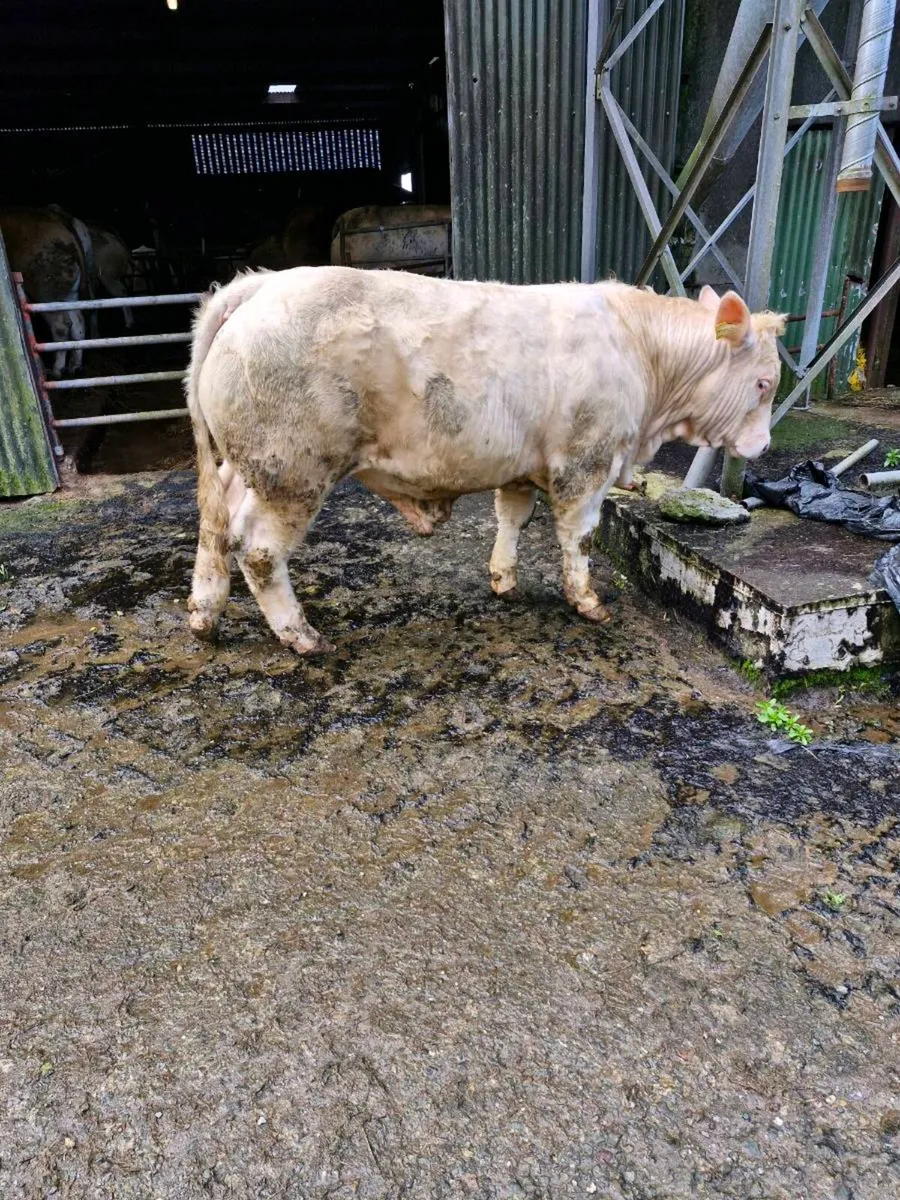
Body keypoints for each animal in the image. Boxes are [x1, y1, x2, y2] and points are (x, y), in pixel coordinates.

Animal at [0, 204, 89, 378]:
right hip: (68, 294)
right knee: (78, 323)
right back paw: (75, 366)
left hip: (46, 291)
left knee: (62, 326)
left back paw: (57, 369)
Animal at [184, 267, 784, 655]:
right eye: (763, 383)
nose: (763, 448)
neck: (640, 353)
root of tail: (262, 283)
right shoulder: (585, 462)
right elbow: (580, 538)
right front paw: (587, 601)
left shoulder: (522, 467)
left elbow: (512, 518)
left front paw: (503, 579)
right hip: (292, 469)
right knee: (258, 550)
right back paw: (302, 637)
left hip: (245, 468)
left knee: (215, 528)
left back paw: (204, 616)